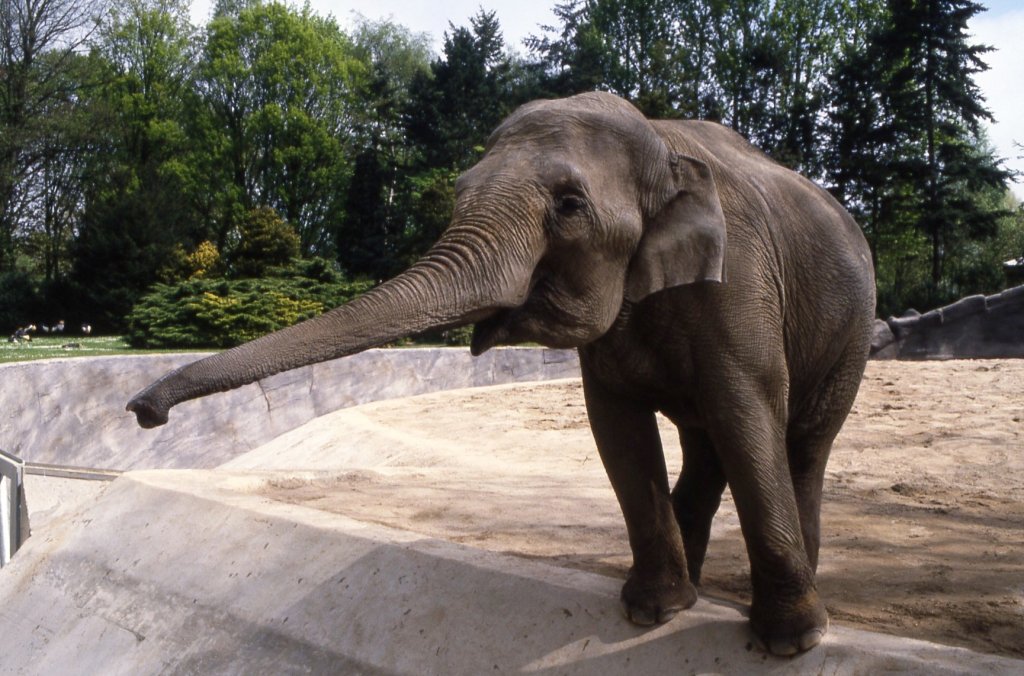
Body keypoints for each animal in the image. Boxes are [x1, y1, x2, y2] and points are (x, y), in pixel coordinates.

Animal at [128, 89, 876, 655]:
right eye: (458, 192)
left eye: (569, 205)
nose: (142, 410)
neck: (661, 144)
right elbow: (619, 431)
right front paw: (651, 613)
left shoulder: (741, 282)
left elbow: (746, 410)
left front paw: (789, 643)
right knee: (706, 444)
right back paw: (696, 587)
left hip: (853, 332)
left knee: (799, 442)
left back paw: (795, 600)